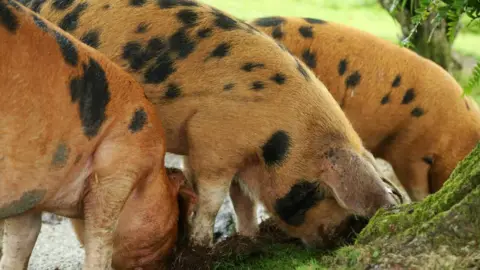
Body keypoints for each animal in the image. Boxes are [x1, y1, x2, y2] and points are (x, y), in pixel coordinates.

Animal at [0, 1, 190, 268]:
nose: (173, 256)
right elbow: (100, 237)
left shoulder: (30, 195)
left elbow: (20, 242)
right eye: (175, 214)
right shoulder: (120, 167)